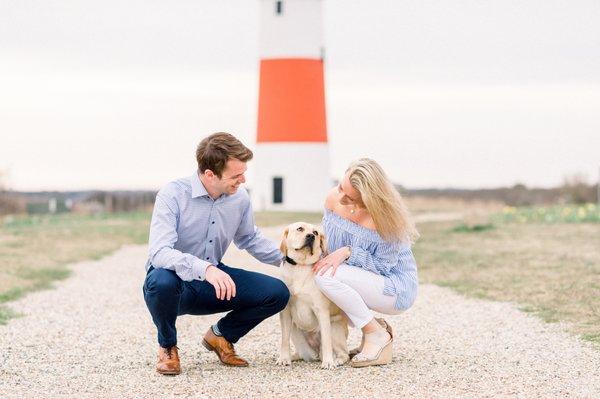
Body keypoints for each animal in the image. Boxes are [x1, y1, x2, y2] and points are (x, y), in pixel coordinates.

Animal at [276, 222, 350, 368]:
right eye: (300, 229)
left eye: (316, 232)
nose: (310, 236)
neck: (300, 266)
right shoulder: (286, 312)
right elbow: (284, 339)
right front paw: (284, 358)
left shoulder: (321, 310)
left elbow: (326, 341)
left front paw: (328, 362)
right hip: (296, 333)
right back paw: (294, 356)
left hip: (334, 329)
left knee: (345, 353)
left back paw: (336, 360)